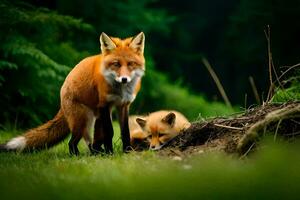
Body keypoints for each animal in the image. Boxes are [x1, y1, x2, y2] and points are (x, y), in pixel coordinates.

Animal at [0, 32, 145, 155]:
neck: (121, 90)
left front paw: (127, 152)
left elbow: (125, 132)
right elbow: (110, 132)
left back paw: (97, 153)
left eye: (131, 64)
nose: (124, 79)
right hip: (82, 120)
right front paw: (111, 154)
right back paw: (78, 155)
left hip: (95, 119)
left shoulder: (123, 105)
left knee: (93, 142)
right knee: (73, 142)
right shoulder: (105, 104)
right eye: (116, 64)